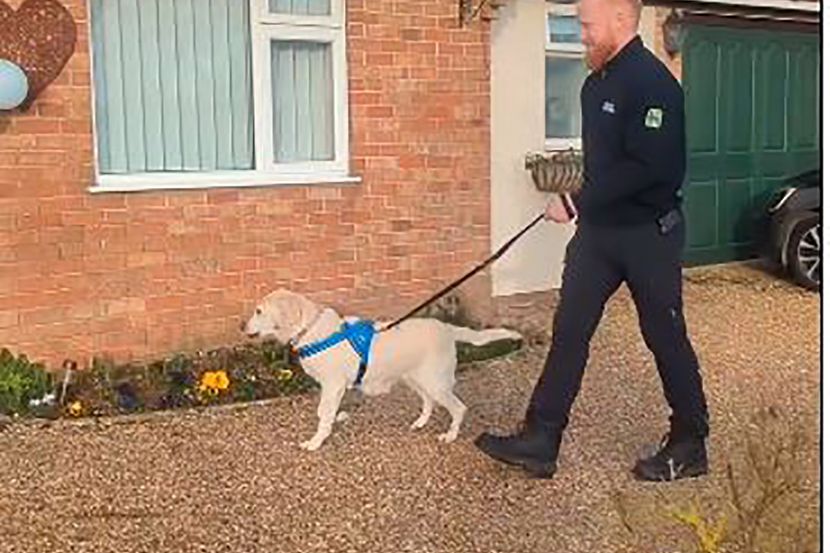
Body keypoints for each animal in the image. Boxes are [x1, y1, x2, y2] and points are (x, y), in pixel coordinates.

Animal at [243, 289, 521, 451]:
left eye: (259, 311)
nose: (241, 327)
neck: (310, 329)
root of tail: (447, 329)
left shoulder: (332, 386)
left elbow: (323, 414)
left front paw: (316, 441)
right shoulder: (333, 388)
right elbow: (326, 413)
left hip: (435, 382)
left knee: (458, 408)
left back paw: (450, 436)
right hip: (416, 379)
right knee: (429, 402)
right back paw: (420, 422)